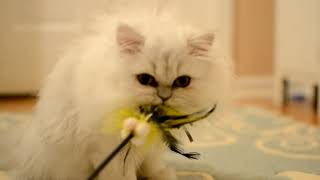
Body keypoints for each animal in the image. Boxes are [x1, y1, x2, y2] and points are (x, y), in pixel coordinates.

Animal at [0, 13, 230, 179]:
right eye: (145, 79)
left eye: (182, 82)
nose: (164, 96)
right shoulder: (107, 150)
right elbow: (122, 175)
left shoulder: (151, 147)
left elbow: (152, 165)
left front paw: (163, 175)